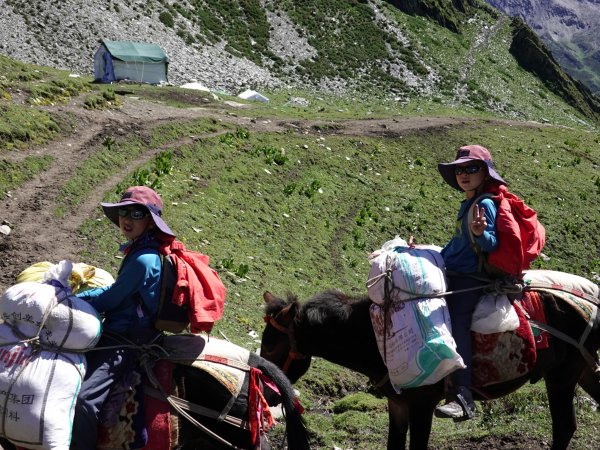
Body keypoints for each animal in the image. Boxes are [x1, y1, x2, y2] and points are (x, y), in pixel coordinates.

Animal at [262, 288, 600, 450]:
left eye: (271, 348)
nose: (270, 393)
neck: (375, 336)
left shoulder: (422, 404)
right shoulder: (397, 404)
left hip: (561, 377)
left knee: (564, 427)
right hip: (585, 371)